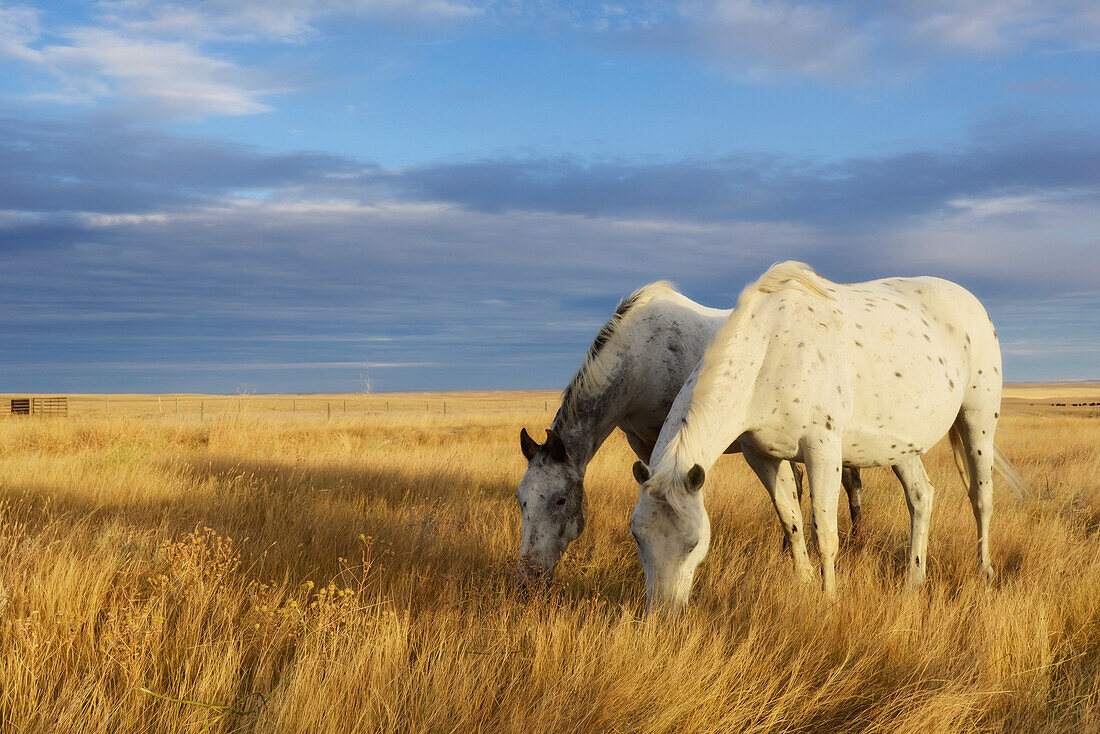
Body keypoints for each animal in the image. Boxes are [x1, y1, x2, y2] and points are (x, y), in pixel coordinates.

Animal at [514, 283, 866, 585]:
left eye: (560, 500)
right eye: (521, 500)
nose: (528, 577)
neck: (642, 353)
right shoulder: (640, 441)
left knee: (850, 483)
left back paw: (858, 546)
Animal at [633, 260, 1025, 616]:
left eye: (694, 542)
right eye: (637, 537)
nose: (663, 616)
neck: (770, 351)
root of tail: (971, 301)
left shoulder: (822, 450)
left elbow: (824, 532)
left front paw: (830, 599)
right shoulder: (763, 458)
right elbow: (791, 522)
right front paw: (805, 585)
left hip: (977, 424)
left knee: (981, 498)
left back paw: (984, 571)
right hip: (901, 446)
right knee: (921, 497)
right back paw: (914, 581)